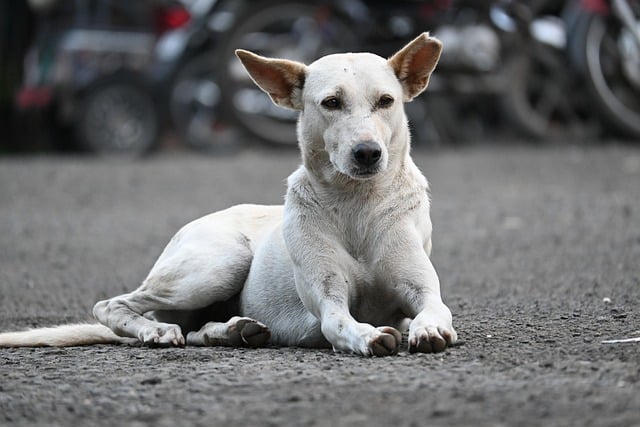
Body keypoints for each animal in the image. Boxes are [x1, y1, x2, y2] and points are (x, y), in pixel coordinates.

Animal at [2, 34, 458, 358]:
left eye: (386, 101)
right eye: (331, 102)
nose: (367, 153)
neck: (356, 202)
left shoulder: (421, 287)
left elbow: (437, 308)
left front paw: (429, 329)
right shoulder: (328, 300)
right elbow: (339, 323)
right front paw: (367, 335)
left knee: (196, 331)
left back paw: (234, 330)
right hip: (216, 264)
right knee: (112, 305)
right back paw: (157, 330)